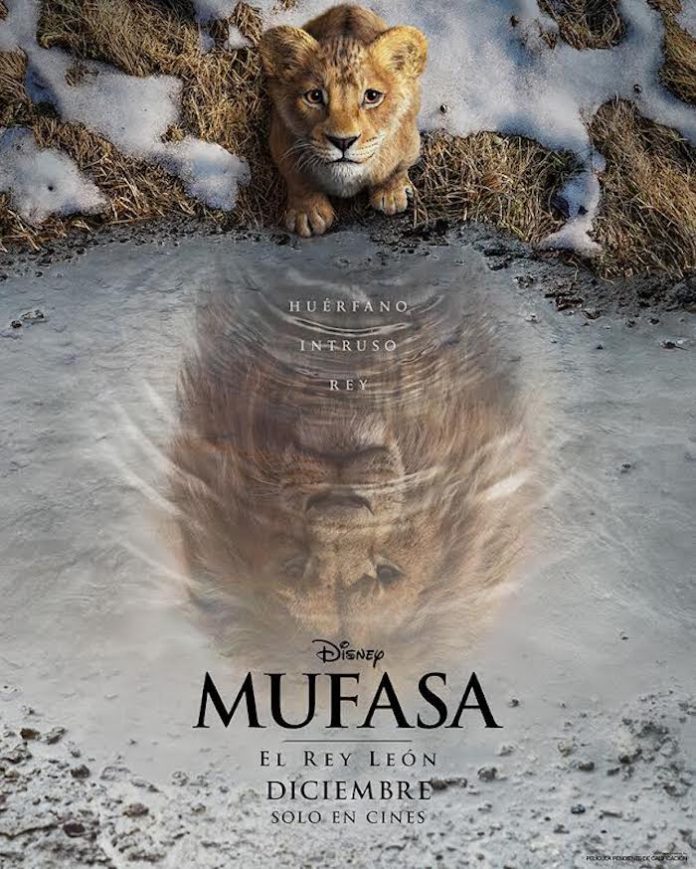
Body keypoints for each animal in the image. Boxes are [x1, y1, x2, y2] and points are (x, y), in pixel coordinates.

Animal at [258, 4, 428, 237]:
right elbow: (298, 179)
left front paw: (392, 193)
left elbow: (397, 168)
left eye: (372, 96)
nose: (343, 142)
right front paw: (307, 213)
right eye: (315, 96)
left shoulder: (410, 139)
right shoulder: (281, 139)